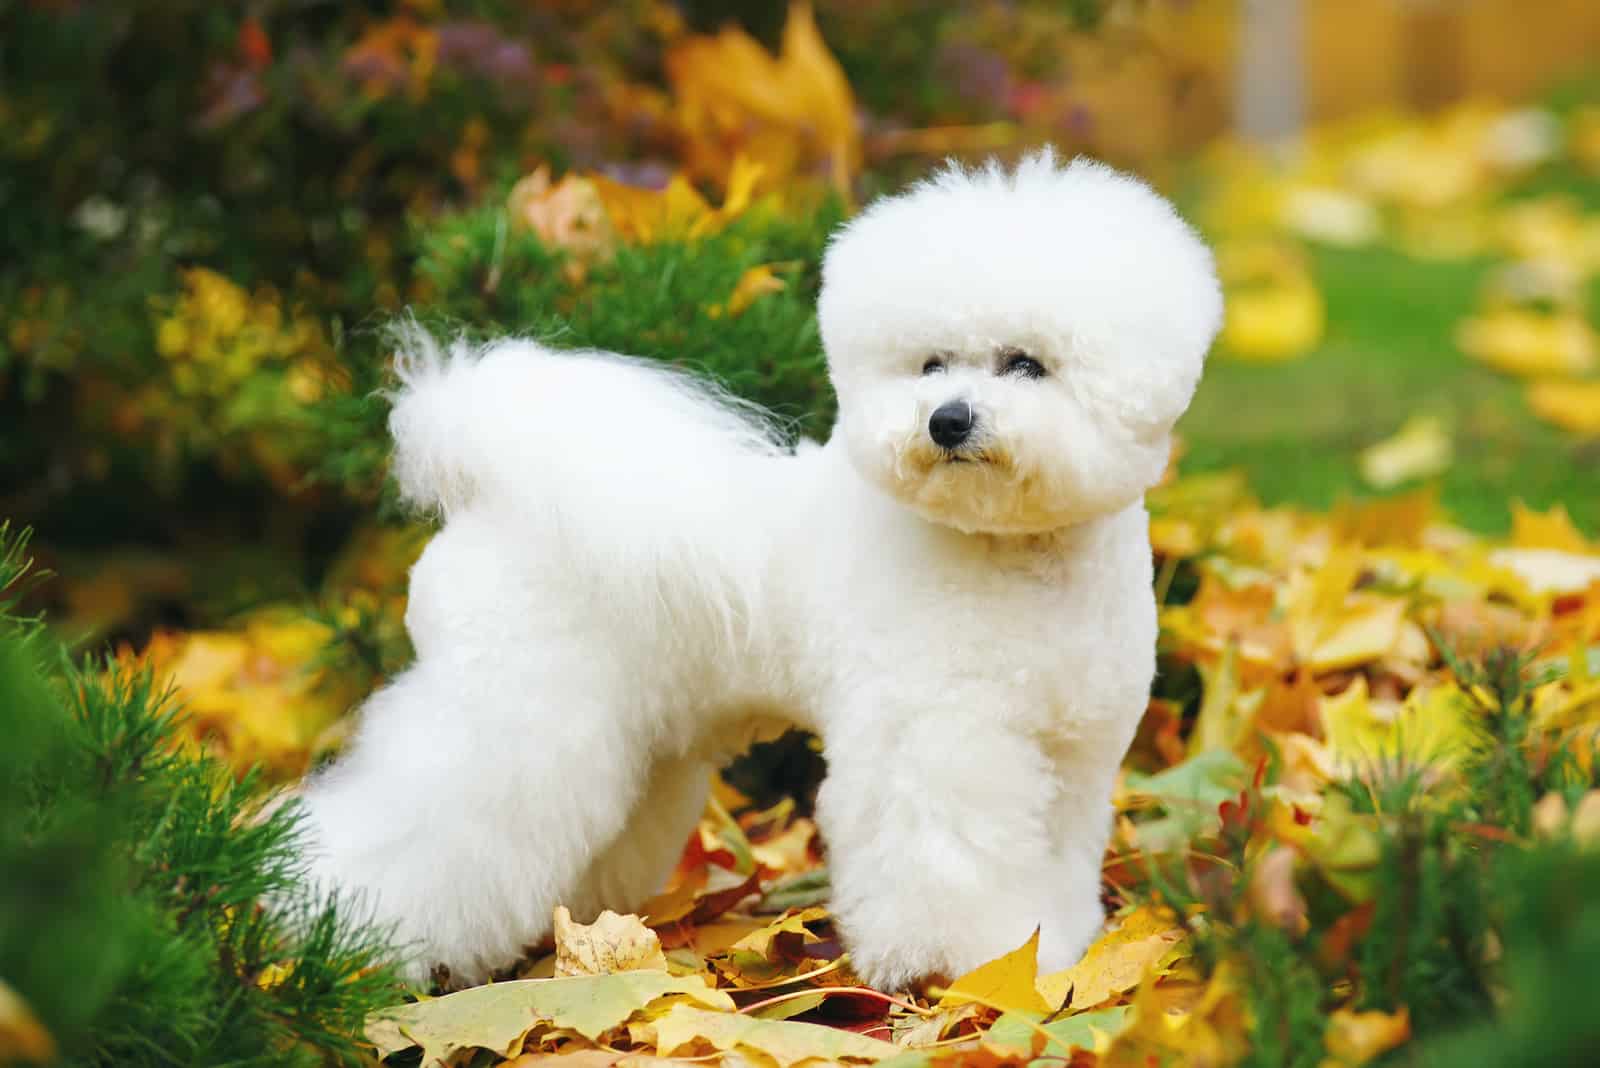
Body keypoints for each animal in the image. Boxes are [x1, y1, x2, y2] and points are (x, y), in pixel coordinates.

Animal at [300, 151, 1216, 991]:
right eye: (929, 365)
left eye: (1025, 363)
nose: (947, 421)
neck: (1011, 555)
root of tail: (485, 490)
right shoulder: (939, 742)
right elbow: (949, 859)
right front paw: (974, 967)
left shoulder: (1075, 756)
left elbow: (1057, 856)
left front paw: (1053, 950)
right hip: (512, 713)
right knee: (414, 831)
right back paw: (340, 945)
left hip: (629, 740)